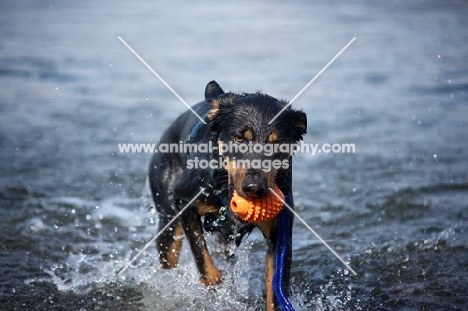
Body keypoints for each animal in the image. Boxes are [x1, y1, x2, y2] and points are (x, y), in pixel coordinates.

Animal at [150, 80, 308, 310]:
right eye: (239, 138)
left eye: (278, 144)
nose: (254, 188)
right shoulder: (184, 200)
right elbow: (204, 262)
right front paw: (219, 285)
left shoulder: (281, 232)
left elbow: (276, 289)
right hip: (168, 219)